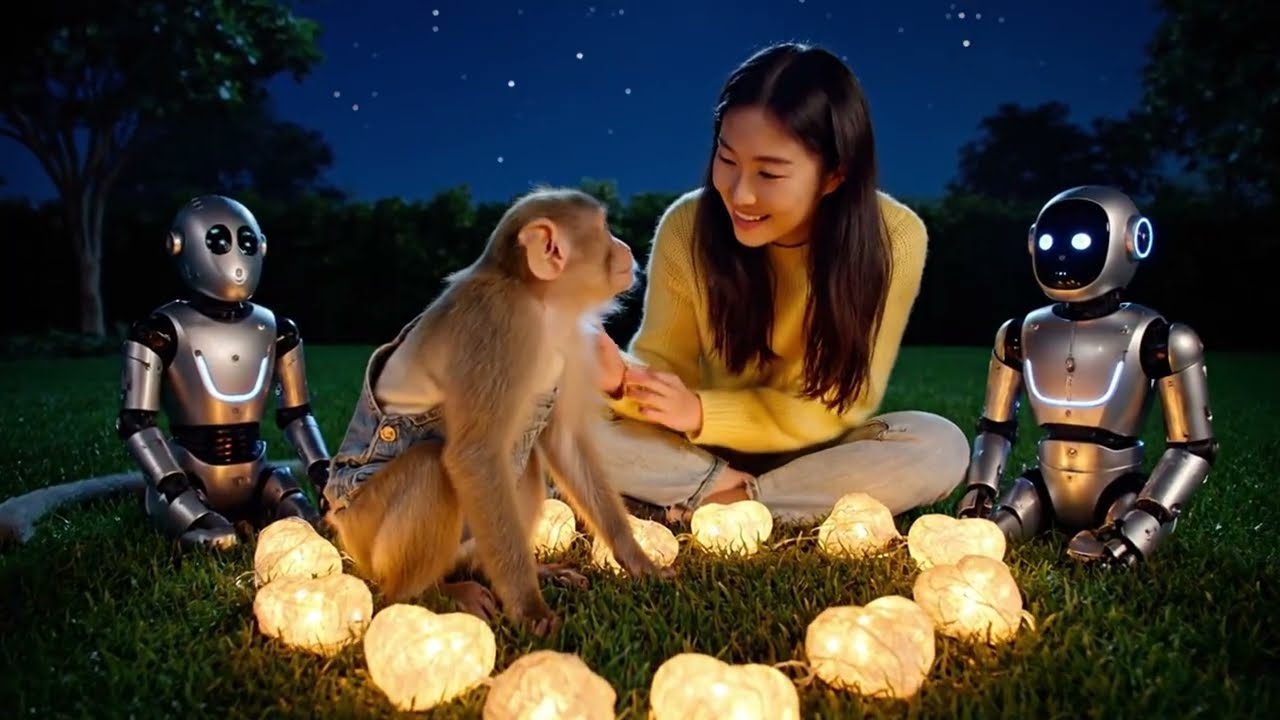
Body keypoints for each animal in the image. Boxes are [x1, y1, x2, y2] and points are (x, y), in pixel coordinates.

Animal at [321, 186, 674, 636]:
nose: (626, 247)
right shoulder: (495, 324)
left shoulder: (576, 341)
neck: (541, 304)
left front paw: (638, 561)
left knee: (523, 467)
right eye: (604, 229)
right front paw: (528, 608)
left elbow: (564, 444)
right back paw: (426, 594)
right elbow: (474, 455)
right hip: (362, 528)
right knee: (432, 468)